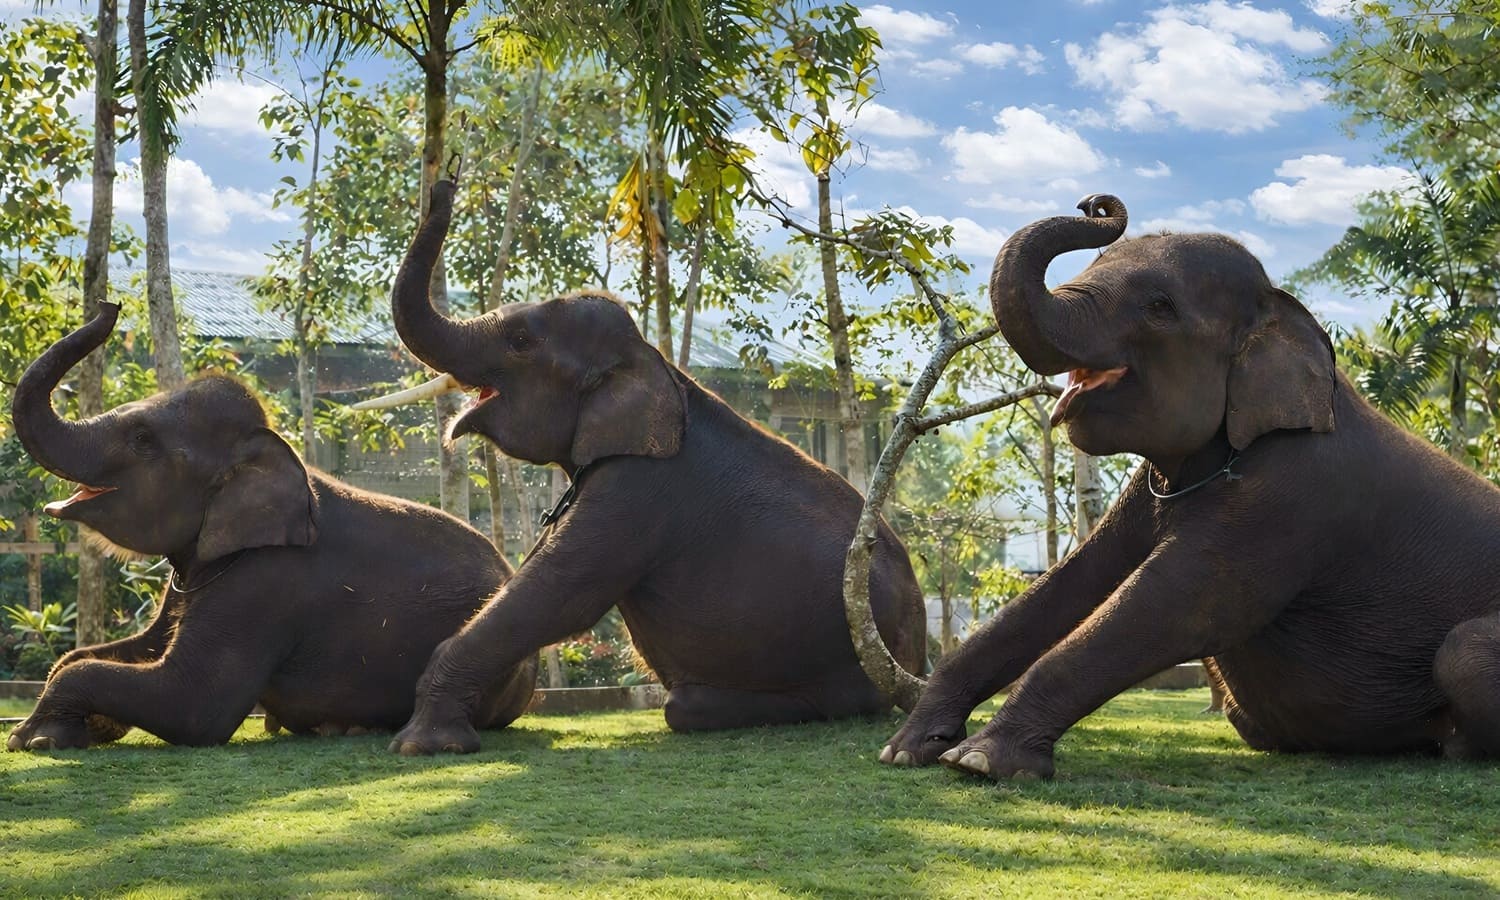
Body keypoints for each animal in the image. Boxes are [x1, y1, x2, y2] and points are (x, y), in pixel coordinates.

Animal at [5, 304, 536, 751]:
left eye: (141, 439)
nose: (108, 306)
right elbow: (109, 653)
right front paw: (80, 727)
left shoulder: (266, 585)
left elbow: (193, 705)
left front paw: (35, 739)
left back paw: (341, 728)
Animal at [366, 180, 926, 754]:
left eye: (521, 342)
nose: (444, 183)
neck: (652, 361)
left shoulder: (640, 489)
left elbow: (559, 594)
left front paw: (424, 745)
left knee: (690, 706)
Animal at [879, 194, 1500, 780]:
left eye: (1160, 308)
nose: (1096, 204)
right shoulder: (1143, 496)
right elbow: (1072, 583)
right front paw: (907, 749)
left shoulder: (1297, 493)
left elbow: (1184, 606)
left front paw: (979, 761)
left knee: (1462, 652)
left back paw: (1451, 745)